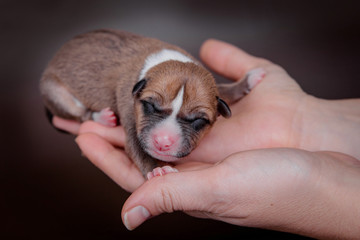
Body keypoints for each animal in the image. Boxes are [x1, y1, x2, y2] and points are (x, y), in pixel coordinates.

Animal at [40, 29, 264, 178]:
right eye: (151, 106)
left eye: (198, 121)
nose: (162, 142)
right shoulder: (130, 108)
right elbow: (136, 146)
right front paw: (157, 168)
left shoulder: (212, 90)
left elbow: (222, 91)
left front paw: (248, 80)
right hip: (55, 92)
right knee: (80, 113)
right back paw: (103, 117)